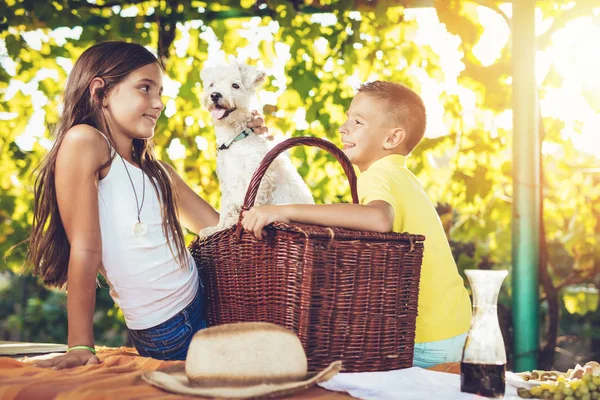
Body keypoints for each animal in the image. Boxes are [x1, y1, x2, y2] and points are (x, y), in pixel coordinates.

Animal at [200, 60, 314, 236]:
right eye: (212, 84)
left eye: (235, 85)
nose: (215, 95)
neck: (235, 139)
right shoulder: (228, 182)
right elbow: (226, 207)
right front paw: (219, 227)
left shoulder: (259, 178)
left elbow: (251, 206)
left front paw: (237, 223)